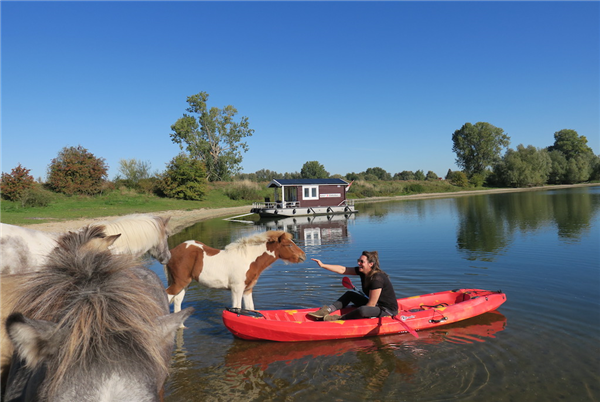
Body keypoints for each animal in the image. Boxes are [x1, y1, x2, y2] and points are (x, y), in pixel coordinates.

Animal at [164, 231, 304, 312]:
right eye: (289, 245)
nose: (303, 255)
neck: (248, 259)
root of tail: (172, 251)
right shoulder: (237, 289)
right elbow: (237, 308)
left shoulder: (247, 290)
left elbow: (250, 309)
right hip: (179, 283)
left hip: (184, 284)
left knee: (177, 301)